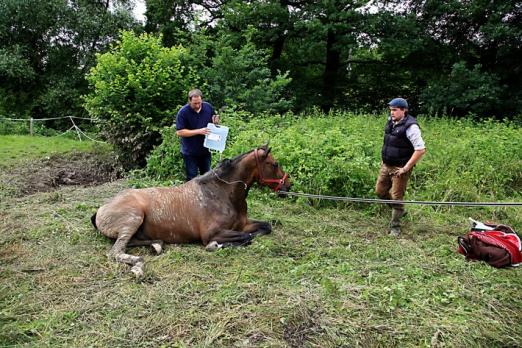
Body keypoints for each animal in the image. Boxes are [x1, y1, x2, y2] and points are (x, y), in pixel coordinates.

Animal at [89, 144, 288, 278]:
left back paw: (156, 245)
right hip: (133, 219)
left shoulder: (244, 224)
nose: (288, 185)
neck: (221, 193)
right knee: (116, 252)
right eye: (275, 164)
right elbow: (245, 238)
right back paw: (138, 266)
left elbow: (264, 228)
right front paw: (215, 246)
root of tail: (101, 209)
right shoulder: (213, 233)